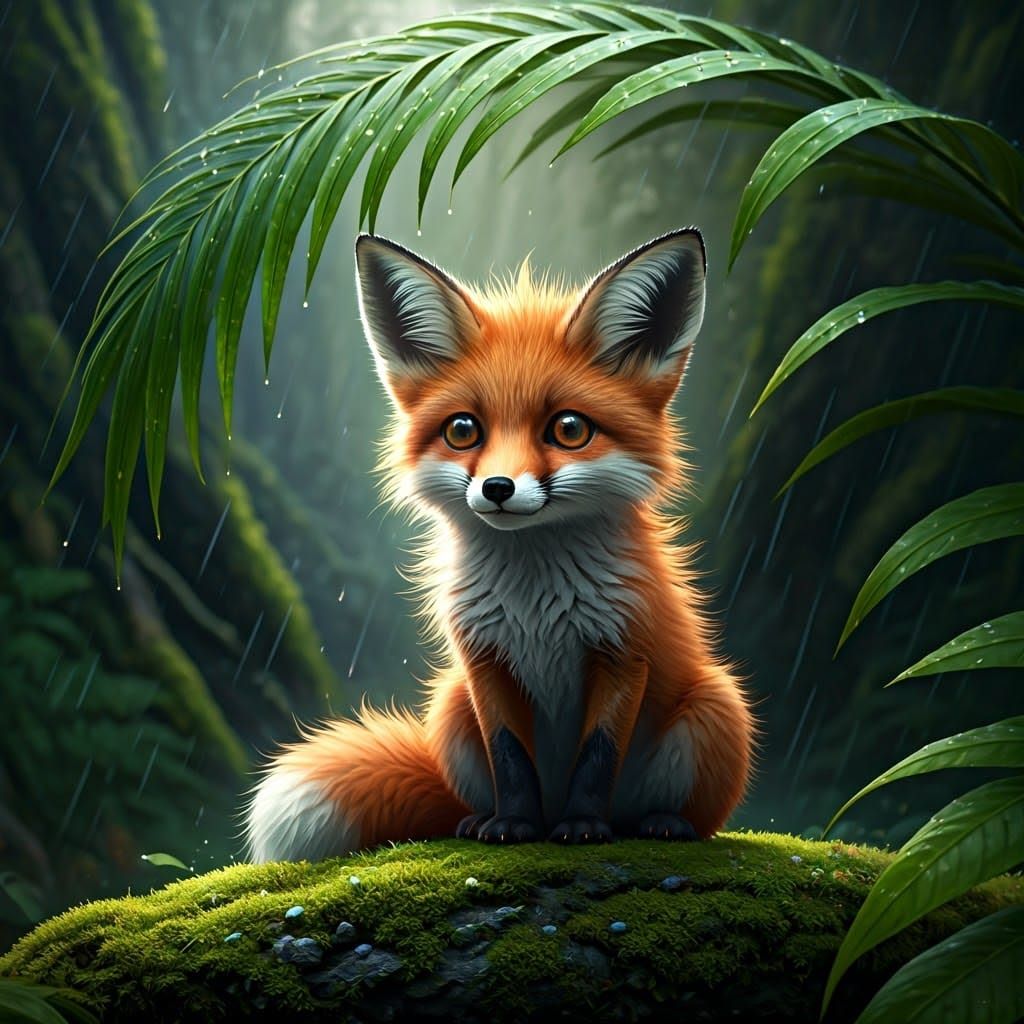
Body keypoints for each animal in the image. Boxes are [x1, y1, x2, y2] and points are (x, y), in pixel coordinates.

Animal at [244, 227, 754, 861]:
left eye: (569, 429)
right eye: (463, 431)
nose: (498, 488)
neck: (535, 600)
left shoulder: (622, 650)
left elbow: (598, 753)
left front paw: (583, 828)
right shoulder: (482, 657)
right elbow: (509, 755)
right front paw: (512, 826)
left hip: (716, 703)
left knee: (674, 813)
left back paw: (656, 823)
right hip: (449, 703)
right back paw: (484, 819)